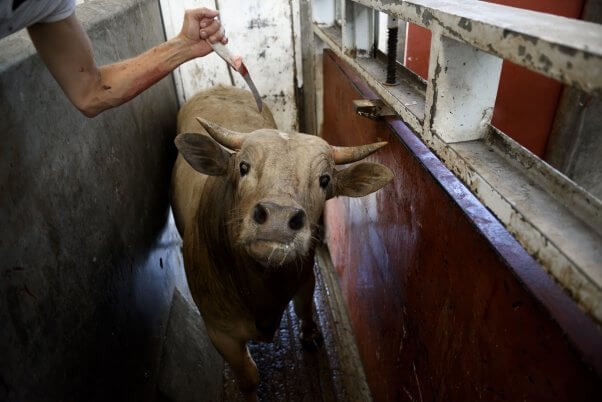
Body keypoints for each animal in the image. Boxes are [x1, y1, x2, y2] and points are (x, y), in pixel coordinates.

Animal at [170, 85, 394, 398]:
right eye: (243, 167)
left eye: (324, 180)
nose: (278, 218)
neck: (264, 287)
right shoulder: (219, 330)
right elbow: (248, 378)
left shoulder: (304, 277)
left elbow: (304, 308)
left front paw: (310, 335)